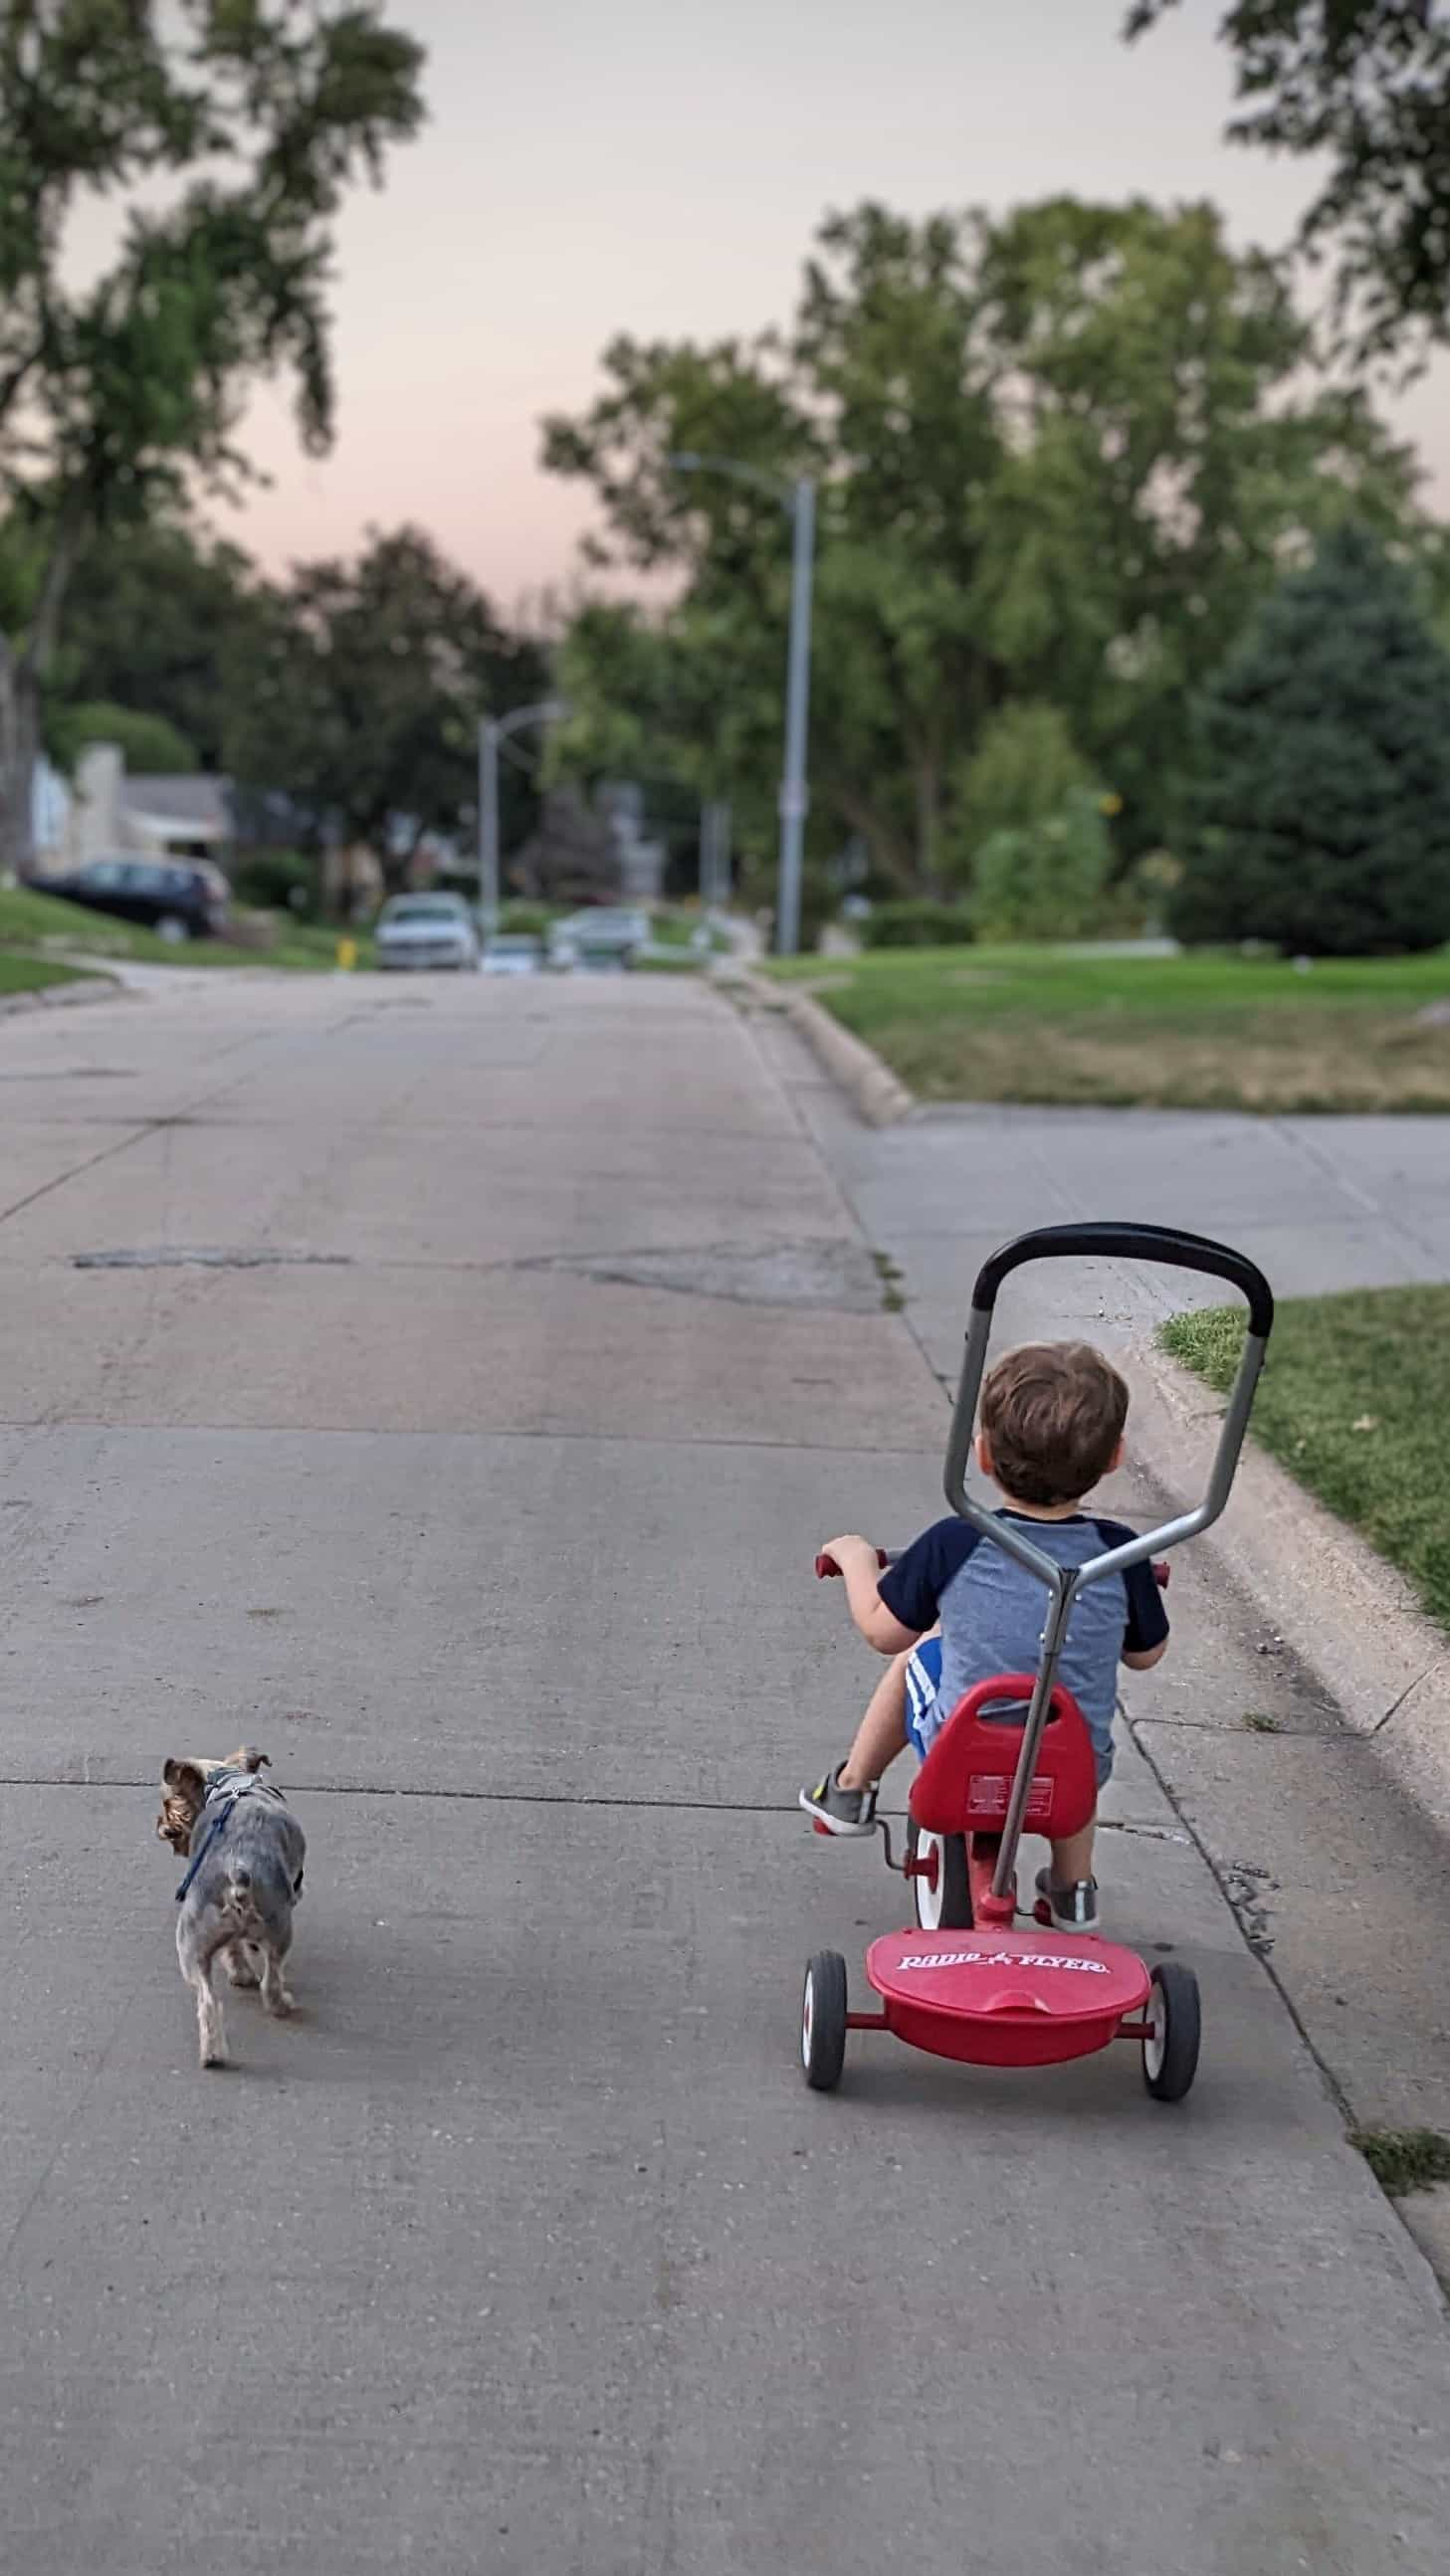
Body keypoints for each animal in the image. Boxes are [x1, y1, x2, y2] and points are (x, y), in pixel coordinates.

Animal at [157, 1741, 305, 2061]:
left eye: (172, 1800)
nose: (165, 1827)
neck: (230, 1781)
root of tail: (236, 1871)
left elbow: (233, 1950)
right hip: (280, 1930)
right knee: (271, 1979)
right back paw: (282, 2004)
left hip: (193, 1946)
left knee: (207, 2000)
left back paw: (213, 2054)